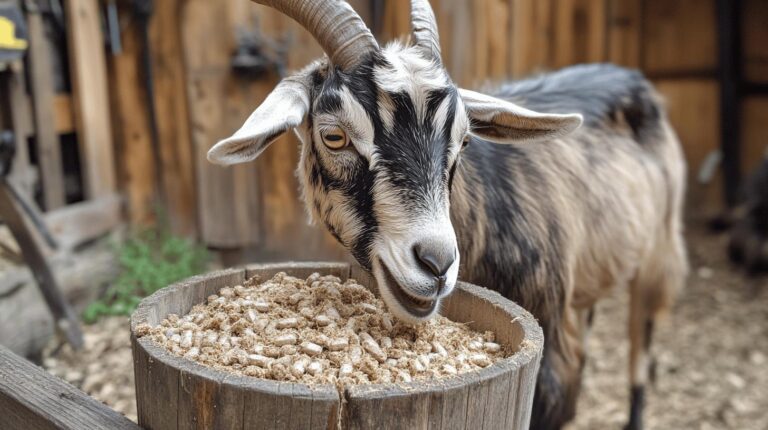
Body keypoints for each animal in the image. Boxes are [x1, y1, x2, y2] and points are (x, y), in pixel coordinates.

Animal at [208, 1, 689, 429]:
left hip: (659, 250)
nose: (436, 265)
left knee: (641, 344)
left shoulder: (551, 355)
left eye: (466, 140)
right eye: (333, 136)